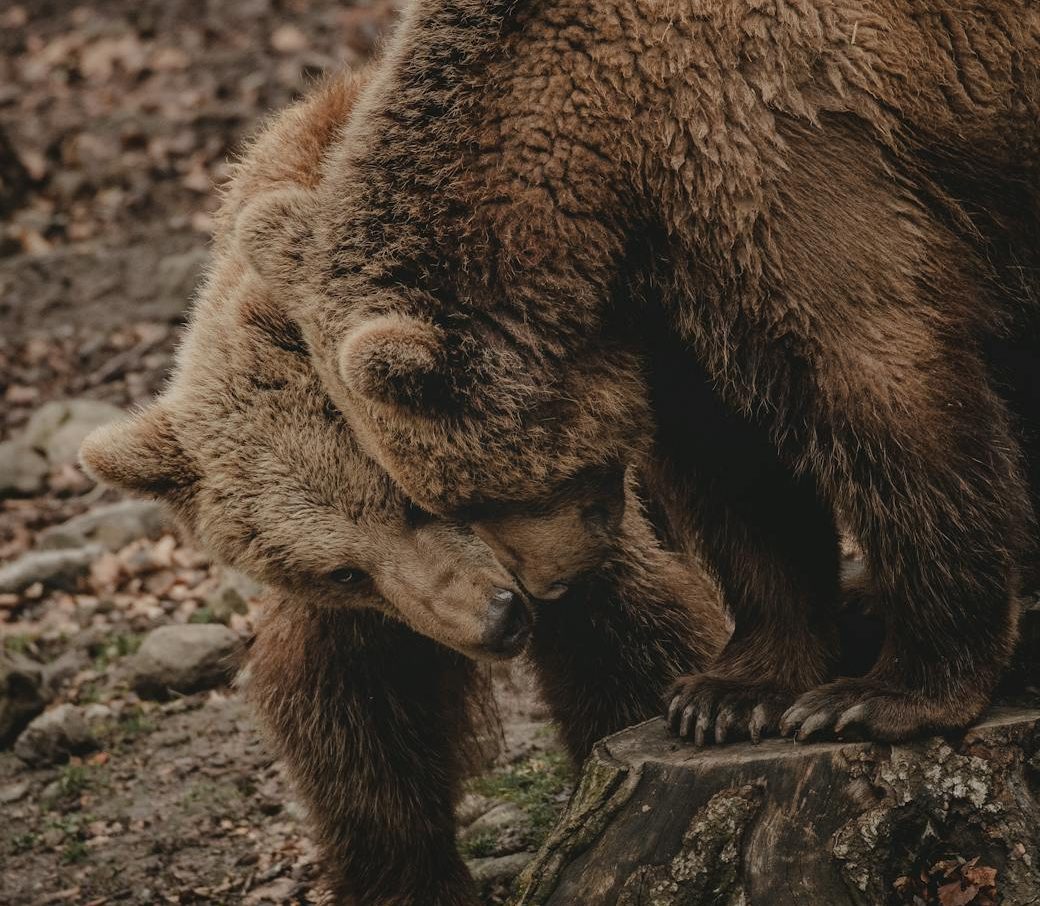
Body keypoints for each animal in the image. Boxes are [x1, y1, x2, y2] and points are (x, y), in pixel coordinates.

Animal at [80, 70, 727, 905]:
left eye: (415, 500)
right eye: (342, 571)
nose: (496, 618)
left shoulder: (568, 514)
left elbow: (630, 637)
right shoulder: (379, 609)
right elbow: (356, 720)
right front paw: (407, 873)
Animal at [240, 0, 1040, 746]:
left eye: (461, 501)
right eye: (441, 505)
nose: (544, 589)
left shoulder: (778, 162)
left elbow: (881, 387)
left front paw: (879, 695)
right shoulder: (673, 294)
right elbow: (733, 468)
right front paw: (728, 694)